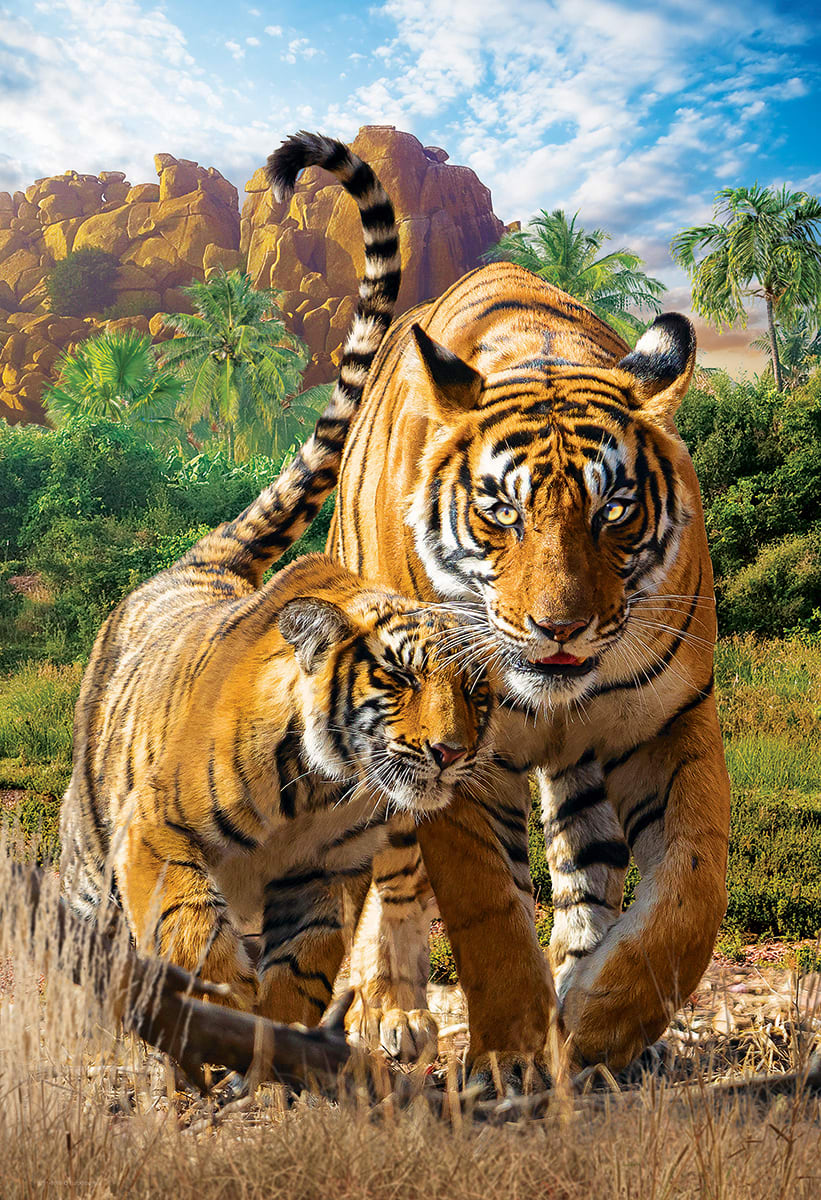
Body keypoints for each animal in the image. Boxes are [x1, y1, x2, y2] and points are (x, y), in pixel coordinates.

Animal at [58, 133, 495, 1032]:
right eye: (398, 678)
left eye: (477, 692)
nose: (450, 752)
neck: (325, 792)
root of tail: (199, 565)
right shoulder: (155, 832)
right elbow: (191, 928)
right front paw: (217, 1005)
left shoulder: (325, 877)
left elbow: (305, 965)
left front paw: (276, 1031)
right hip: (89, 840)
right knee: (92, 923)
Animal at [270, 132, 731, 1079]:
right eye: (500, 512)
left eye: (613, 511)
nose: (558, 628)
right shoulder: (452, 758)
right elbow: (487, 913)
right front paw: (513, 1060)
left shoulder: (672, 720)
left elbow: (690, 890)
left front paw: (601, 1023)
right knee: (390, 877)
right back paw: (392, 1013)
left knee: (587, 865)